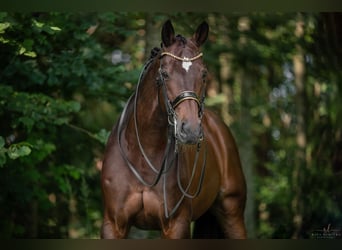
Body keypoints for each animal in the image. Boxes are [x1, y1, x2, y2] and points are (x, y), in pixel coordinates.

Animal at [100, 19, 247, 238]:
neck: (142, 157)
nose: (191, 130)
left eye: (204, 73)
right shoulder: (113, 225)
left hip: (232, 214)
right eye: (165, 73)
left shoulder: (177, 224)